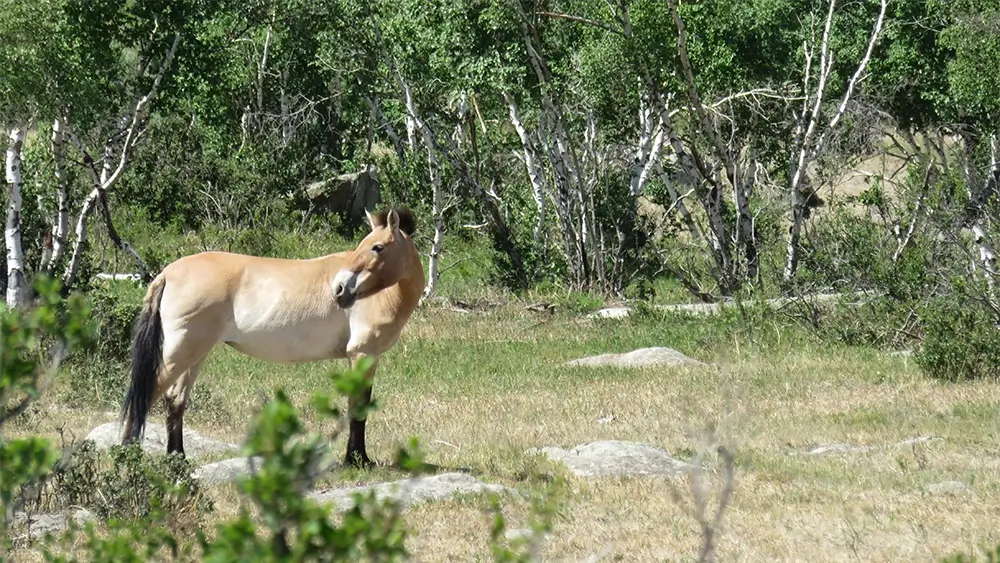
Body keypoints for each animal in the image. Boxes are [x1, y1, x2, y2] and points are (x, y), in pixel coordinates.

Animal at [119, 207, 425, 468]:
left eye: (377, 247)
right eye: (364, 245)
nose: (339, 289)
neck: (384, 295)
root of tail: (167, 273)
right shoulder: (362, 354)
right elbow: (358, 406)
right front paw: (357, 459)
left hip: (195, 354)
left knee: (175, 399)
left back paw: (177, 459)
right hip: (181, 352)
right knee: (147, 395)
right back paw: (127, 457)